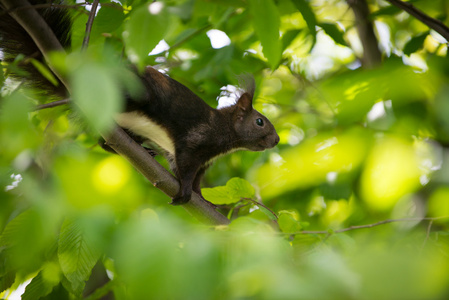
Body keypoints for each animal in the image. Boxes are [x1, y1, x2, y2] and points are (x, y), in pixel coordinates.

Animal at [0, 0, 278, 205]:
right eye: (260, 122)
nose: (275, 140)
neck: (224, 134)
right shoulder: (194, 141)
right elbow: (186, 169)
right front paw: (186, 192)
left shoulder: (203, 162)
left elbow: (196, 178)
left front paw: (204, 200)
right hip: (136, 95)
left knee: (105, 143)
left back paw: (144, 150)